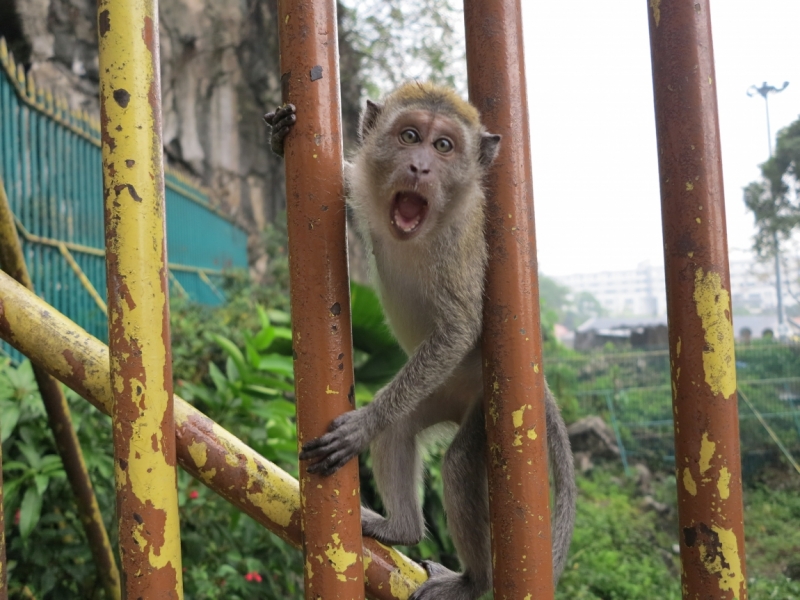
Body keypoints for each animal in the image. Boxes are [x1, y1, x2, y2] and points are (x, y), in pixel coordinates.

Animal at [268, 81, 576, 600]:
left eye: (444, 146)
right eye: (410, 136)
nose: (420, 167)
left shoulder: (456, 248)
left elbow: (458, 330)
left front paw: (362, 424)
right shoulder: (362, 188)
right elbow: (344, 177)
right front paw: (279, 133)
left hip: (482, 402)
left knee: (457, 463)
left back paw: (473, 580)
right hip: (437, 393)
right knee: (399, 429)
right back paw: (401, 528)